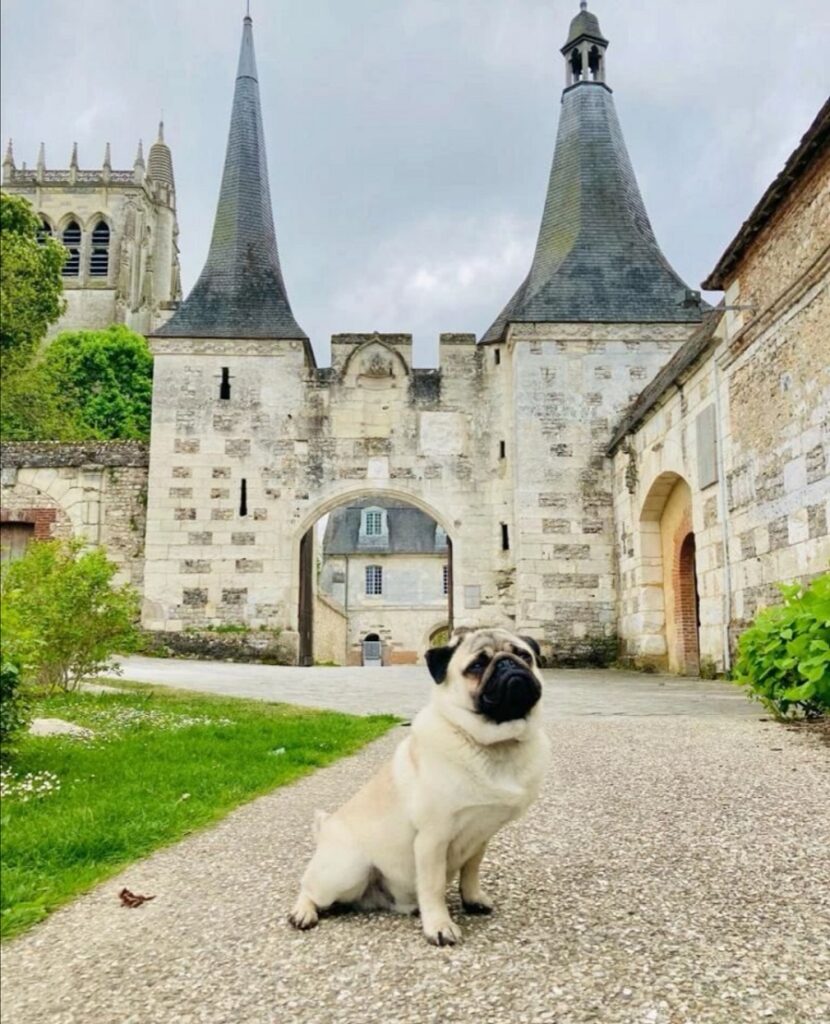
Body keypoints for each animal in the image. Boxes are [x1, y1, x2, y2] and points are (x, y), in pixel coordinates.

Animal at [288, 626, 548, 946]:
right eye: (476, 666)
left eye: (524, 655)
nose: (507, 664)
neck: (496, 745)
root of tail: (325, 832)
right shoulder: (432, 838)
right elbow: (433, 886)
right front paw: (439, 925)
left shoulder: (481, 835)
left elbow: (471, 872)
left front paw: (472, 899)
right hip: (346, 869)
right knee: (309, 887)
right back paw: (303, 912)